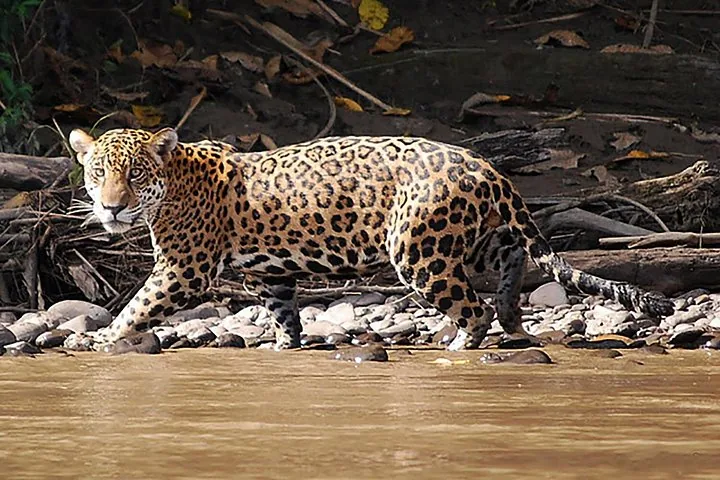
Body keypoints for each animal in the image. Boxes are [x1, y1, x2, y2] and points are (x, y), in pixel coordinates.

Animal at [67, 127, 674, 351]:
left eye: (135, 174)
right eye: (97, 172)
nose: (111, 206)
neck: (172, 185)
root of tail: (487, 166)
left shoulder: (184, 268)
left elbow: (139, 303)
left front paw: (103, 338)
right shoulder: (270, 273)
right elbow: (282, 308)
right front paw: (286, 345)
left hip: (419, 249)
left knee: (469, 307)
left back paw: (461, 344)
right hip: (467, 235)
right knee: (511, 257)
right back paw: (510, 314)